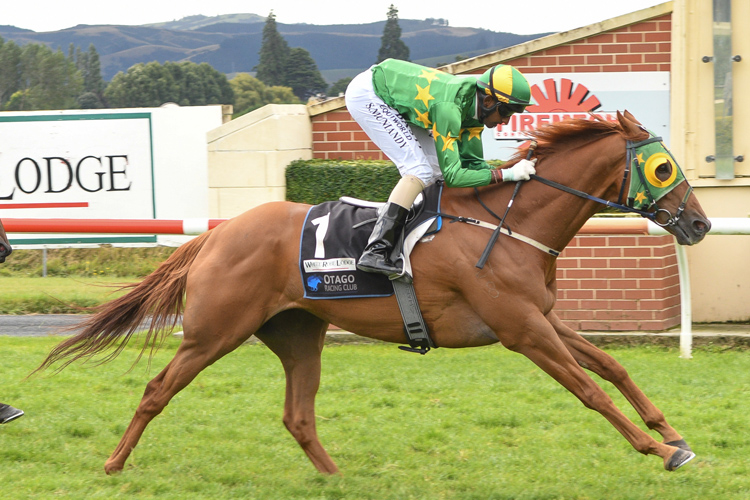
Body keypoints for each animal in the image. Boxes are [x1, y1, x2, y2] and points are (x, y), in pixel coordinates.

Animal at [38, 110, 712, 476]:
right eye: (662, 167)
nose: (701, 224)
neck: (507, 223)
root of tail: (219, 233)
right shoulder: (521, 330)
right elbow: (589, 390)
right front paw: (656, 448)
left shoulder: (541, 316)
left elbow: (613, 366)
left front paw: (673, 435)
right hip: (213, 332)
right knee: (157, 390)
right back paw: (114, 463)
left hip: (297, 334)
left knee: (297, 414)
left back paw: (335, 477)